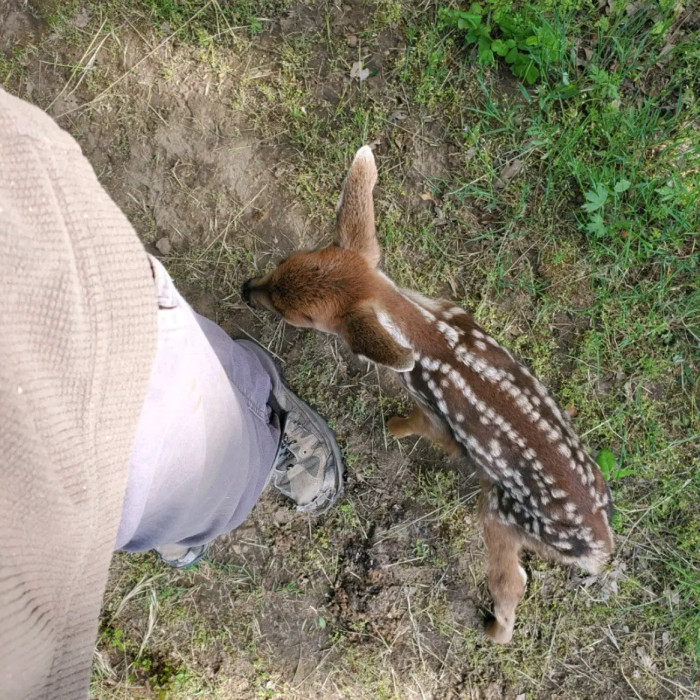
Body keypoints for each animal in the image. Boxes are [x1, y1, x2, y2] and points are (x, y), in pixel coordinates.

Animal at [242, 146, 614, 643]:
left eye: (300, 317)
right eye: (289, 259)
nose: (247, 290)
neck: (430, 332)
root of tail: (597, 549)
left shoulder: (434, 415)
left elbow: (419, 427)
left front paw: (393, 427)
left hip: (499, 513)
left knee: (512, 580)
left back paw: (493, 631)